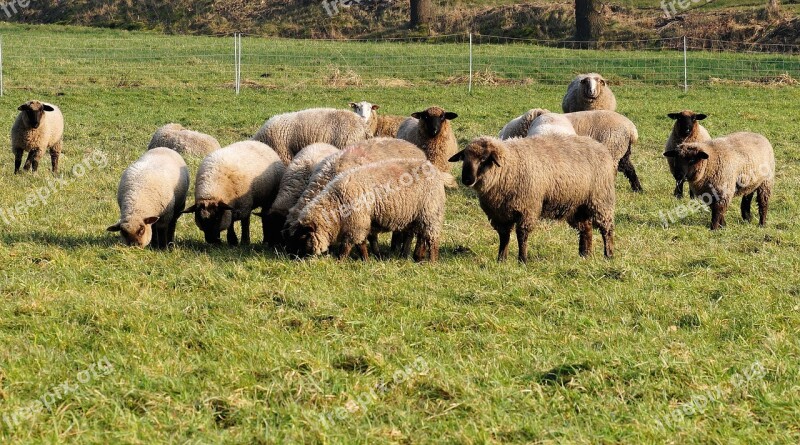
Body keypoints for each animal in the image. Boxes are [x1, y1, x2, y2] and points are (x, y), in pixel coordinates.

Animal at [290, 159, 446, 260]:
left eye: (303, 236)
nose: (296, 258)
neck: (337, 204)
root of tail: (434, 169)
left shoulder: (357, 222)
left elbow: (349, 244)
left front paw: (341, 260)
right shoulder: (362, 222)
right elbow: (363, 243)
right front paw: (367, 259)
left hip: (430, 212)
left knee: (432, 238)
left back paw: (432, 261)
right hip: (416, 216)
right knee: (420, 236)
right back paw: (416, 257)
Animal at [446, 135, 616, 260]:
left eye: (482, 159)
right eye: (464, 158)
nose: (467, 180)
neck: (509, 167)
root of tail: (599, 145)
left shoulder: (527, 209)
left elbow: (522, 236)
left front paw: (522, 259)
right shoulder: (500, 214)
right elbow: (504, 237)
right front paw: (501, 259)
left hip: (600, 200)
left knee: (606, 228)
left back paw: (608, 255)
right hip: (576, 206)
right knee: (586, 229)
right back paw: (585, 255)